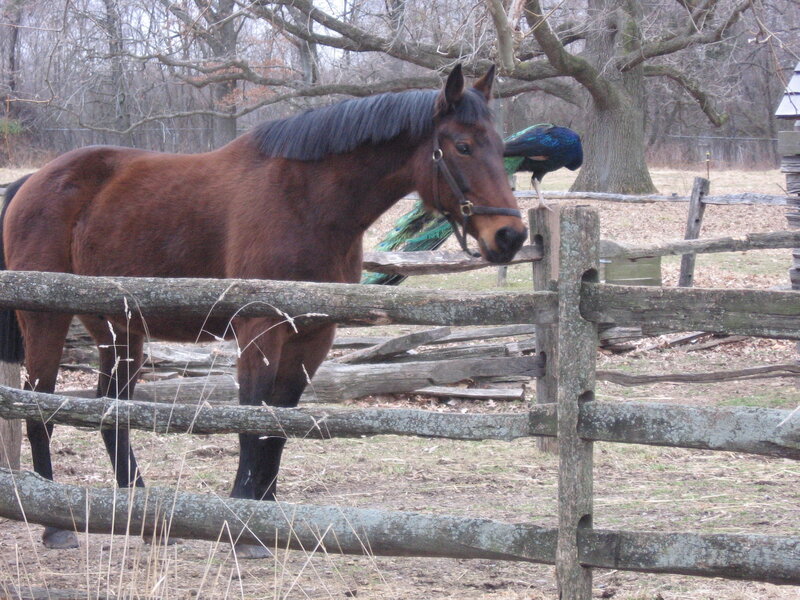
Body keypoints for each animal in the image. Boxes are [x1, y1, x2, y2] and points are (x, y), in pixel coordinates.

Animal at [0, 64, 526, 557]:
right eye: (462, 146)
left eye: (501, 147)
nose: (510, 236)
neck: (310, 203)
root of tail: (31, 182)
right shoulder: (260, 330)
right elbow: (252, 419)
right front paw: (242, 524)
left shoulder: (312, 337)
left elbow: (279, 422)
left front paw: (267, 514)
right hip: (47, 320)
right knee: (39, 404)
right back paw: (54, 523)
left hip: (119, 328)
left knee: (111, 408)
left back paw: (141, 514)